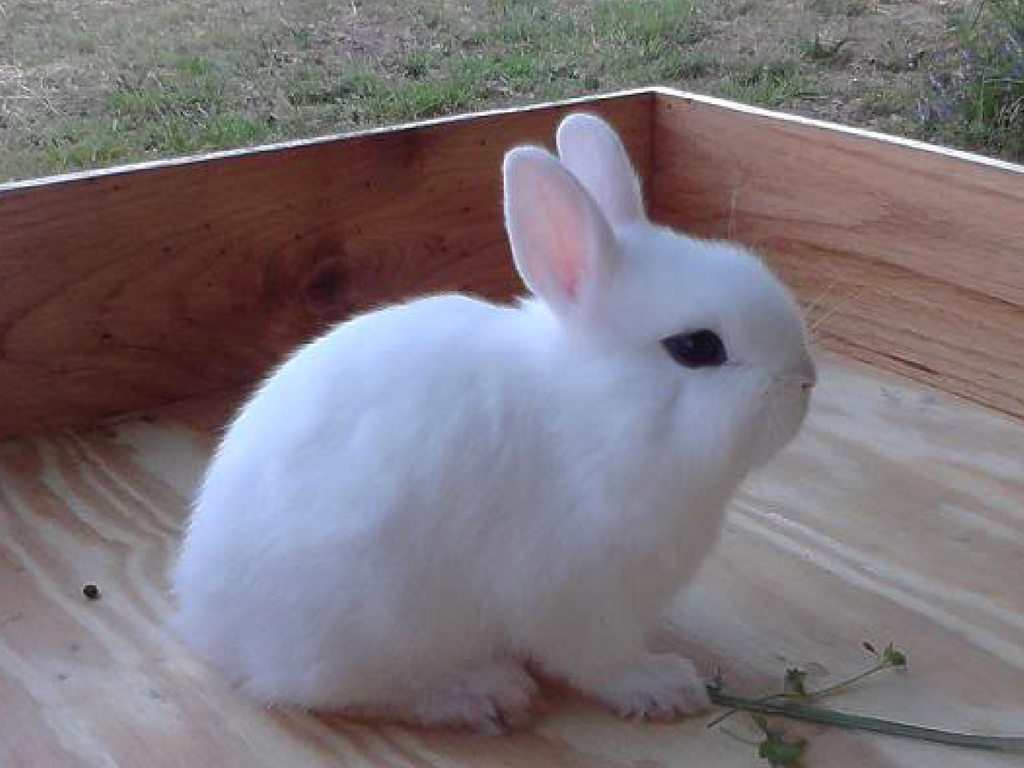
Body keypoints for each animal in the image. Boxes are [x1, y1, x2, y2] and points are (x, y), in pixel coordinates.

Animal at [174, 111, 815, 729]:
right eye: (696, 347)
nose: (805, 380)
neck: (592, 416)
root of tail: (208, 622)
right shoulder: (578, 594)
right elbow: (599, 661)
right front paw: (665, 686)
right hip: (375, 620)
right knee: (348, 692)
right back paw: (483, 693)